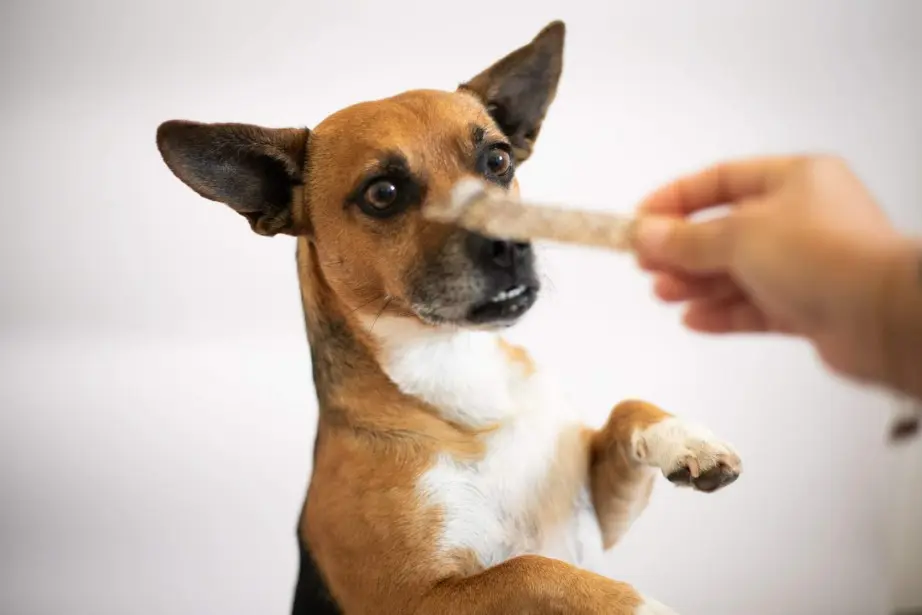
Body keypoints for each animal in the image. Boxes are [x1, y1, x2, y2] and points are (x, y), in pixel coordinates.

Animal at [153, 20, 740, 615]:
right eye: (383, 192)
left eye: (497, 161)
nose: (511, 243)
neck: (455, 360)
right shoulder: (421, 599)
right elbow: (534, 570)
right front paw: (638, 604)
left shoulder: (600, 515)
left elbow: (624, 410)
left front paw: (686, 438)